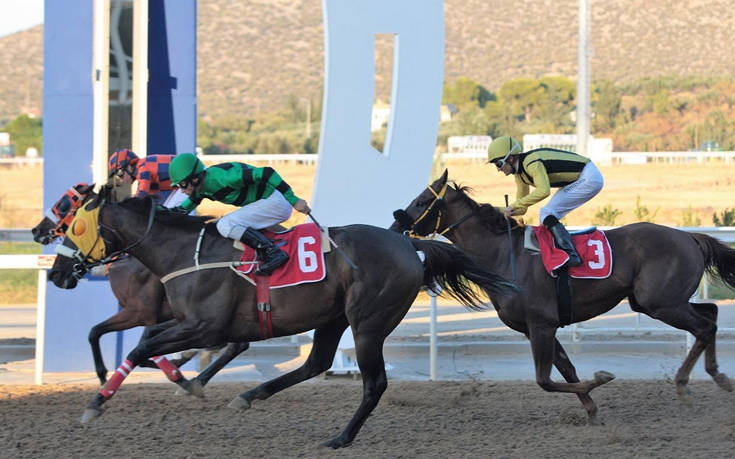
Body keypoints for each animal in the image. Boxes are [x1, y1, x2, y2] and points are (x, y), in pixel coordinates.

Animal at [32, 183, 247, 388]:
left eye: (64, 205)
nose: (36, 231)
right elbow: (99, 333)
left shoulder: (140, 312)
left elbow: (102, 333)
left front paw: (104, 374)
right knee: (238, 345)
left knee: (236, 345)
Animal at [394, 172, 735, 424]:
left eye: (422, 201)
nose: (396, 226)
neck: (504, 255)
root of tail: (689, 236)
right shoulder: (538, 327)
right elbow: (567, 371)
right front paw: (592, 411)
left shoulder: (541, 325)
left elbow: (545, 380)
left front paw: (603, 377)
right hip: (660, 301)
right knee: (711, 312)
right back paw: (717, 375)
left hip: (660, 303)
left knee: (704, 327)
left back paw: (687, 385)